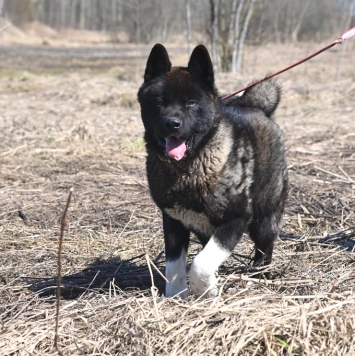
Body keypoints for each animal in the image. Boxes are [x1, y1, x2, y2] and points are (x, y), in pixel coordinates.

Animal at [138, 45, 288, 300]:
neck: (188, 169)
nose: (172, 123)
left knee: (264, 248)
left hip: (264, 219)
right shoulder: (173, 221)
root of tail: (256, 107)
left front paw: (207, 291)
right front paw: (177, 297)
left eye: (191, 103)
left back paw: (259, 275)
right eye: (160, 102)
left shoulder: (237, 219)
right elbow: (174, 267)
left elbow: (200, 264)